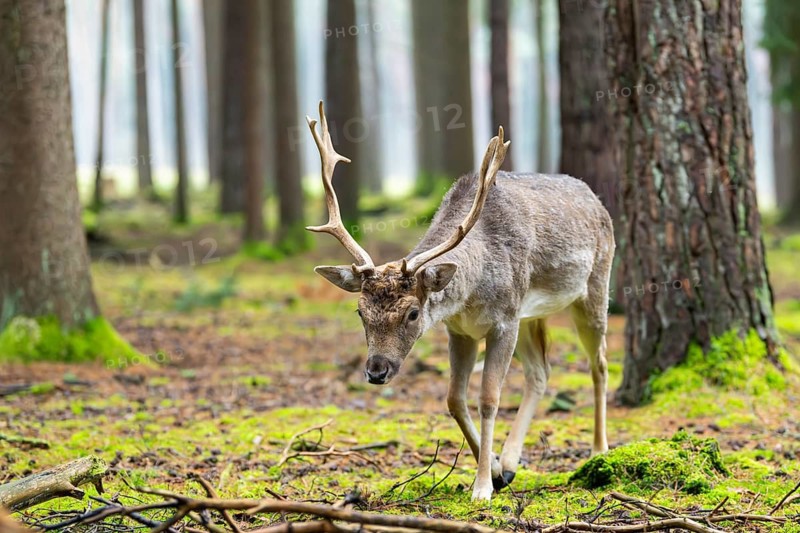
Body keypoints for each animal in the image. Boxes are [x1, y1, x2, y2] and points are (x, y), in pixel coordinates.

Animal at [305, 101, 614, 501]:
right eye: (360, 311)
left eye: (413, 313)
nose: (376, 371)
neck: (472, 295)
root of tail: (597, 200)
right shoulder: (462, 331)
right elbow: (454, 399)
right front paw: (495, 470)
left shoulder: (504, 320)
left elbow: (489, 399)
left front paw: (481, 488)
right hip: (530, 315)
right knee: (541, 372)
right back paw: (511, 463)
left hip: (594, 286)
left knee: (600, 363)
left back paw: (599, 450)